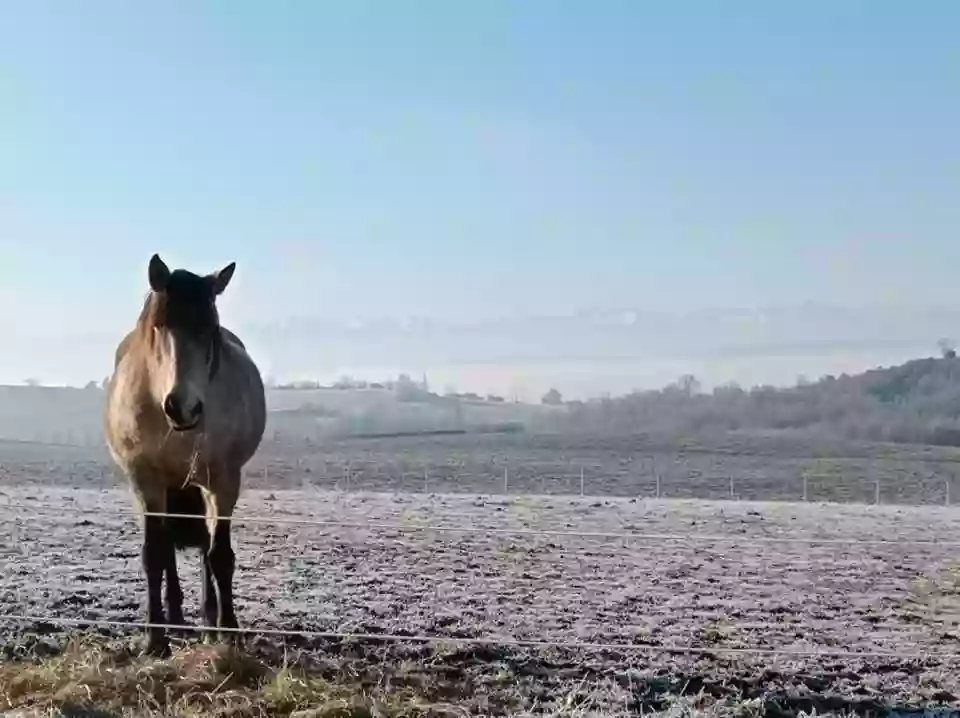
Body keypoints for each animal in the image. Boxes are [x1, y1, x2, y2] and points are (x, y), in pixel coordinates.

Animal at [103, 253, 266, 660]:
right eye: (159, 326)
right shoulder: (146, 481)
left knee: (206, 547)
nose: (183, 407)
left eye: (210, 330)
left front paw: (228, 630)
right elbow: (154, 554)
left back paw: (208, 620)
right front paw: (154, 638)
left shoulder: (223, 480)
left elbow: (219, 555)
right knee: (167, 550)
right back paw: (174, 619)